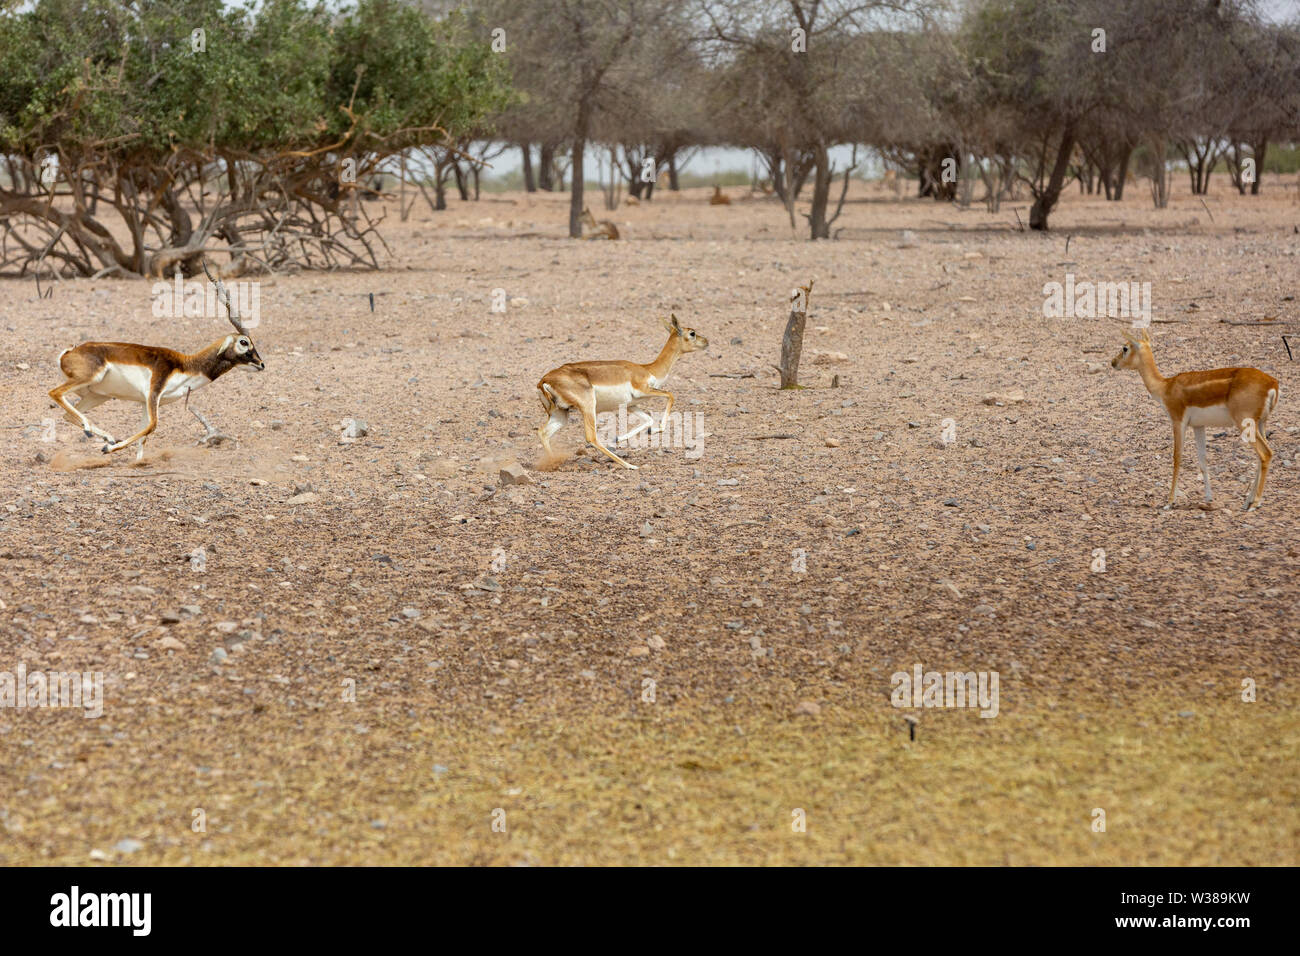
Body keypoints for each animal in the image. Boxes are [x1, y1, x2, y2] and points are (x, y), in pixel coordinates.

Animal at [47, 262, 264, 460]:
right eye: (244, 342)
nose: (261, 364)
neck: (187, 366)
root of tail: (69, 352)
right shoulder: (153, 393)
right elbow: (153, 426)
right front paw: (109, 449)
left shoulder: (145, 402)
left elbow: (144, 437)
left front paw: (135, 463)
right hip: (90, 378)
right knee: (55, 393)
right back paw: (102, 437)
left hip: (98, 395)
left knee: (68, 414)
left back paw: (104, 436)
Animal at [536, 314, 709, 469]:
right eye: (692, 333)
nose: (707, 342)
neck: (648, 369)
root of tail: (544, 380)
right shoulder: (643, 391)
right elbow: (670, 395)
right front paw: (657, 429)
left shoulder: (631, 405)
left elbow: (648, 420)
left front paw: (619, 438)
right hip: (588, 407)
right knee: (591, 437)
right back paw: (629, 465)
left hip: (561, 413)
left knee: (543, 432)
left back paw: (554, 464)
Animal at [1111, 326, 1280, 510]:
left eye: (1125, 348)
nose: (1113, 362)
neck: (1165, 387)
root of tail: (1272, 384)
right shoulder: (1198, 426)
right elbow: (1202, 459)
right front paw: (1208, 498)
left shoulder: (1178, 421)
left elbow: (1177, 456)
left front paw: (1169, 502)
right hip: (1260, 423)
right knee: (1261, 456)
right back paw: (1247, 502)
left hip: (1245, 423)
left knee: (1265, 453)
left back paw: (1255, 503)